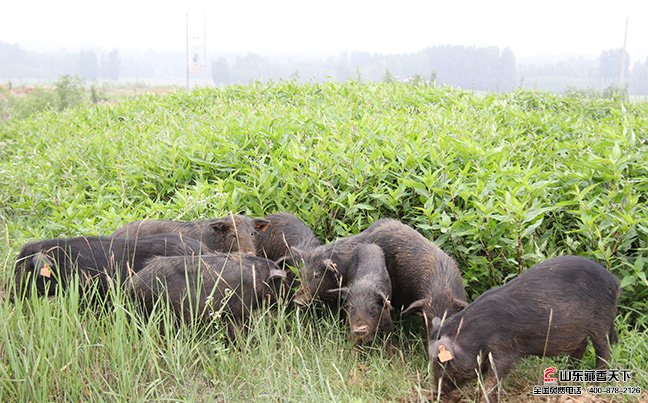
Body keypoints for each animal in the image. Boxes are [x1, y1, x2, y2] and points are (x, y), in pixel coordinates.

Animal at [430, 258, 616, 402]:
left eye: (441, 362)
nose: (435, 394)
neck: (476, 335)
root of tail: (614, 281)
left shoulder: (503, 349)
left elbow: (493, 378)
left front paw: (485, 398)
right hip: (578, 331)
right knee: (581, 348)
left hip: (601, 321)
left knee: (603, 350)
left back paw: (594, 384)